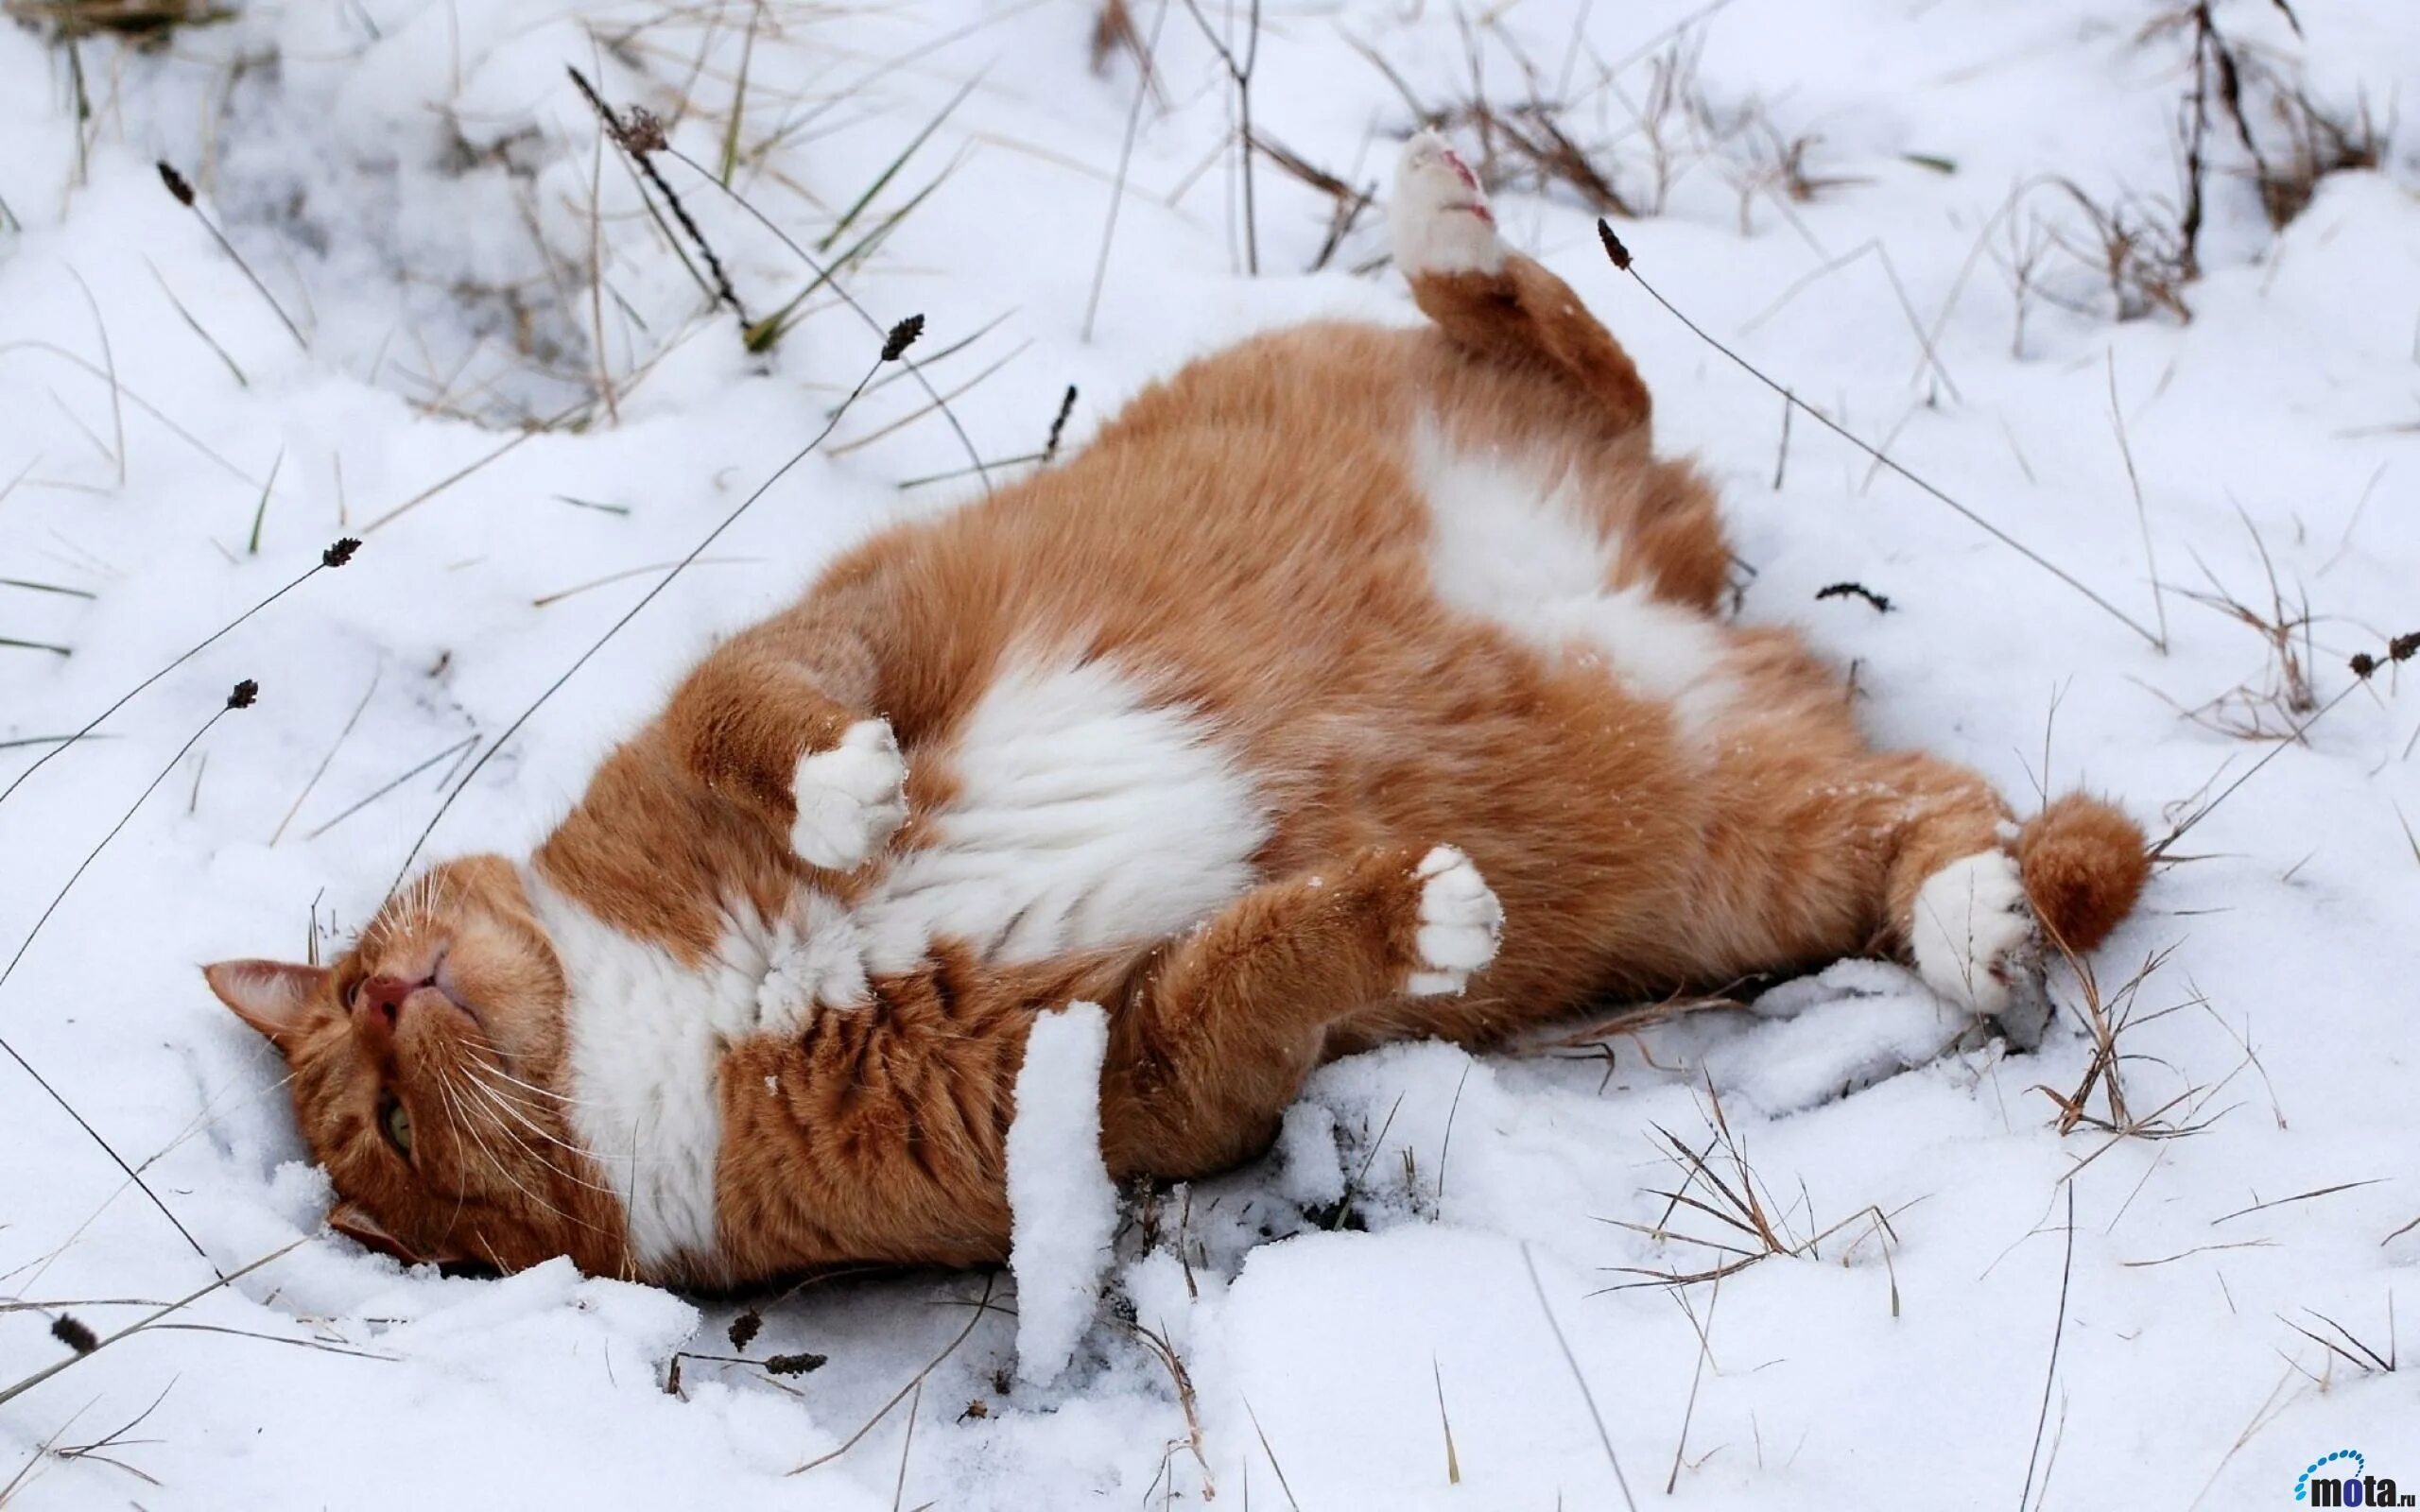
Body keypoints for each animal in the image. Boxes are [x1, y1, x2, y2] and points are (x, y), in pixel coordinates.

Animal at [203, 135, 2139, 1286]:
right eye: (382, 1124)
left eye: (379, 974)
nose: (384, 995)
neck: (696, 1009)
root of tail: (1659, 592)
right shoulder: (1114, 1081)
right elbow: (1246, 977)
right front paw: (1402, 911)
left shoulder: (831, 630)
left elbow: (762, 713)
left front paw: (846, 799)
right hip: (1738, 853)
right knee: (1922, 815)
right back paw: (1974, 920)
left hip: (1368, 389)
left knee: (1572, 346)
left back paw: (1442, 212)